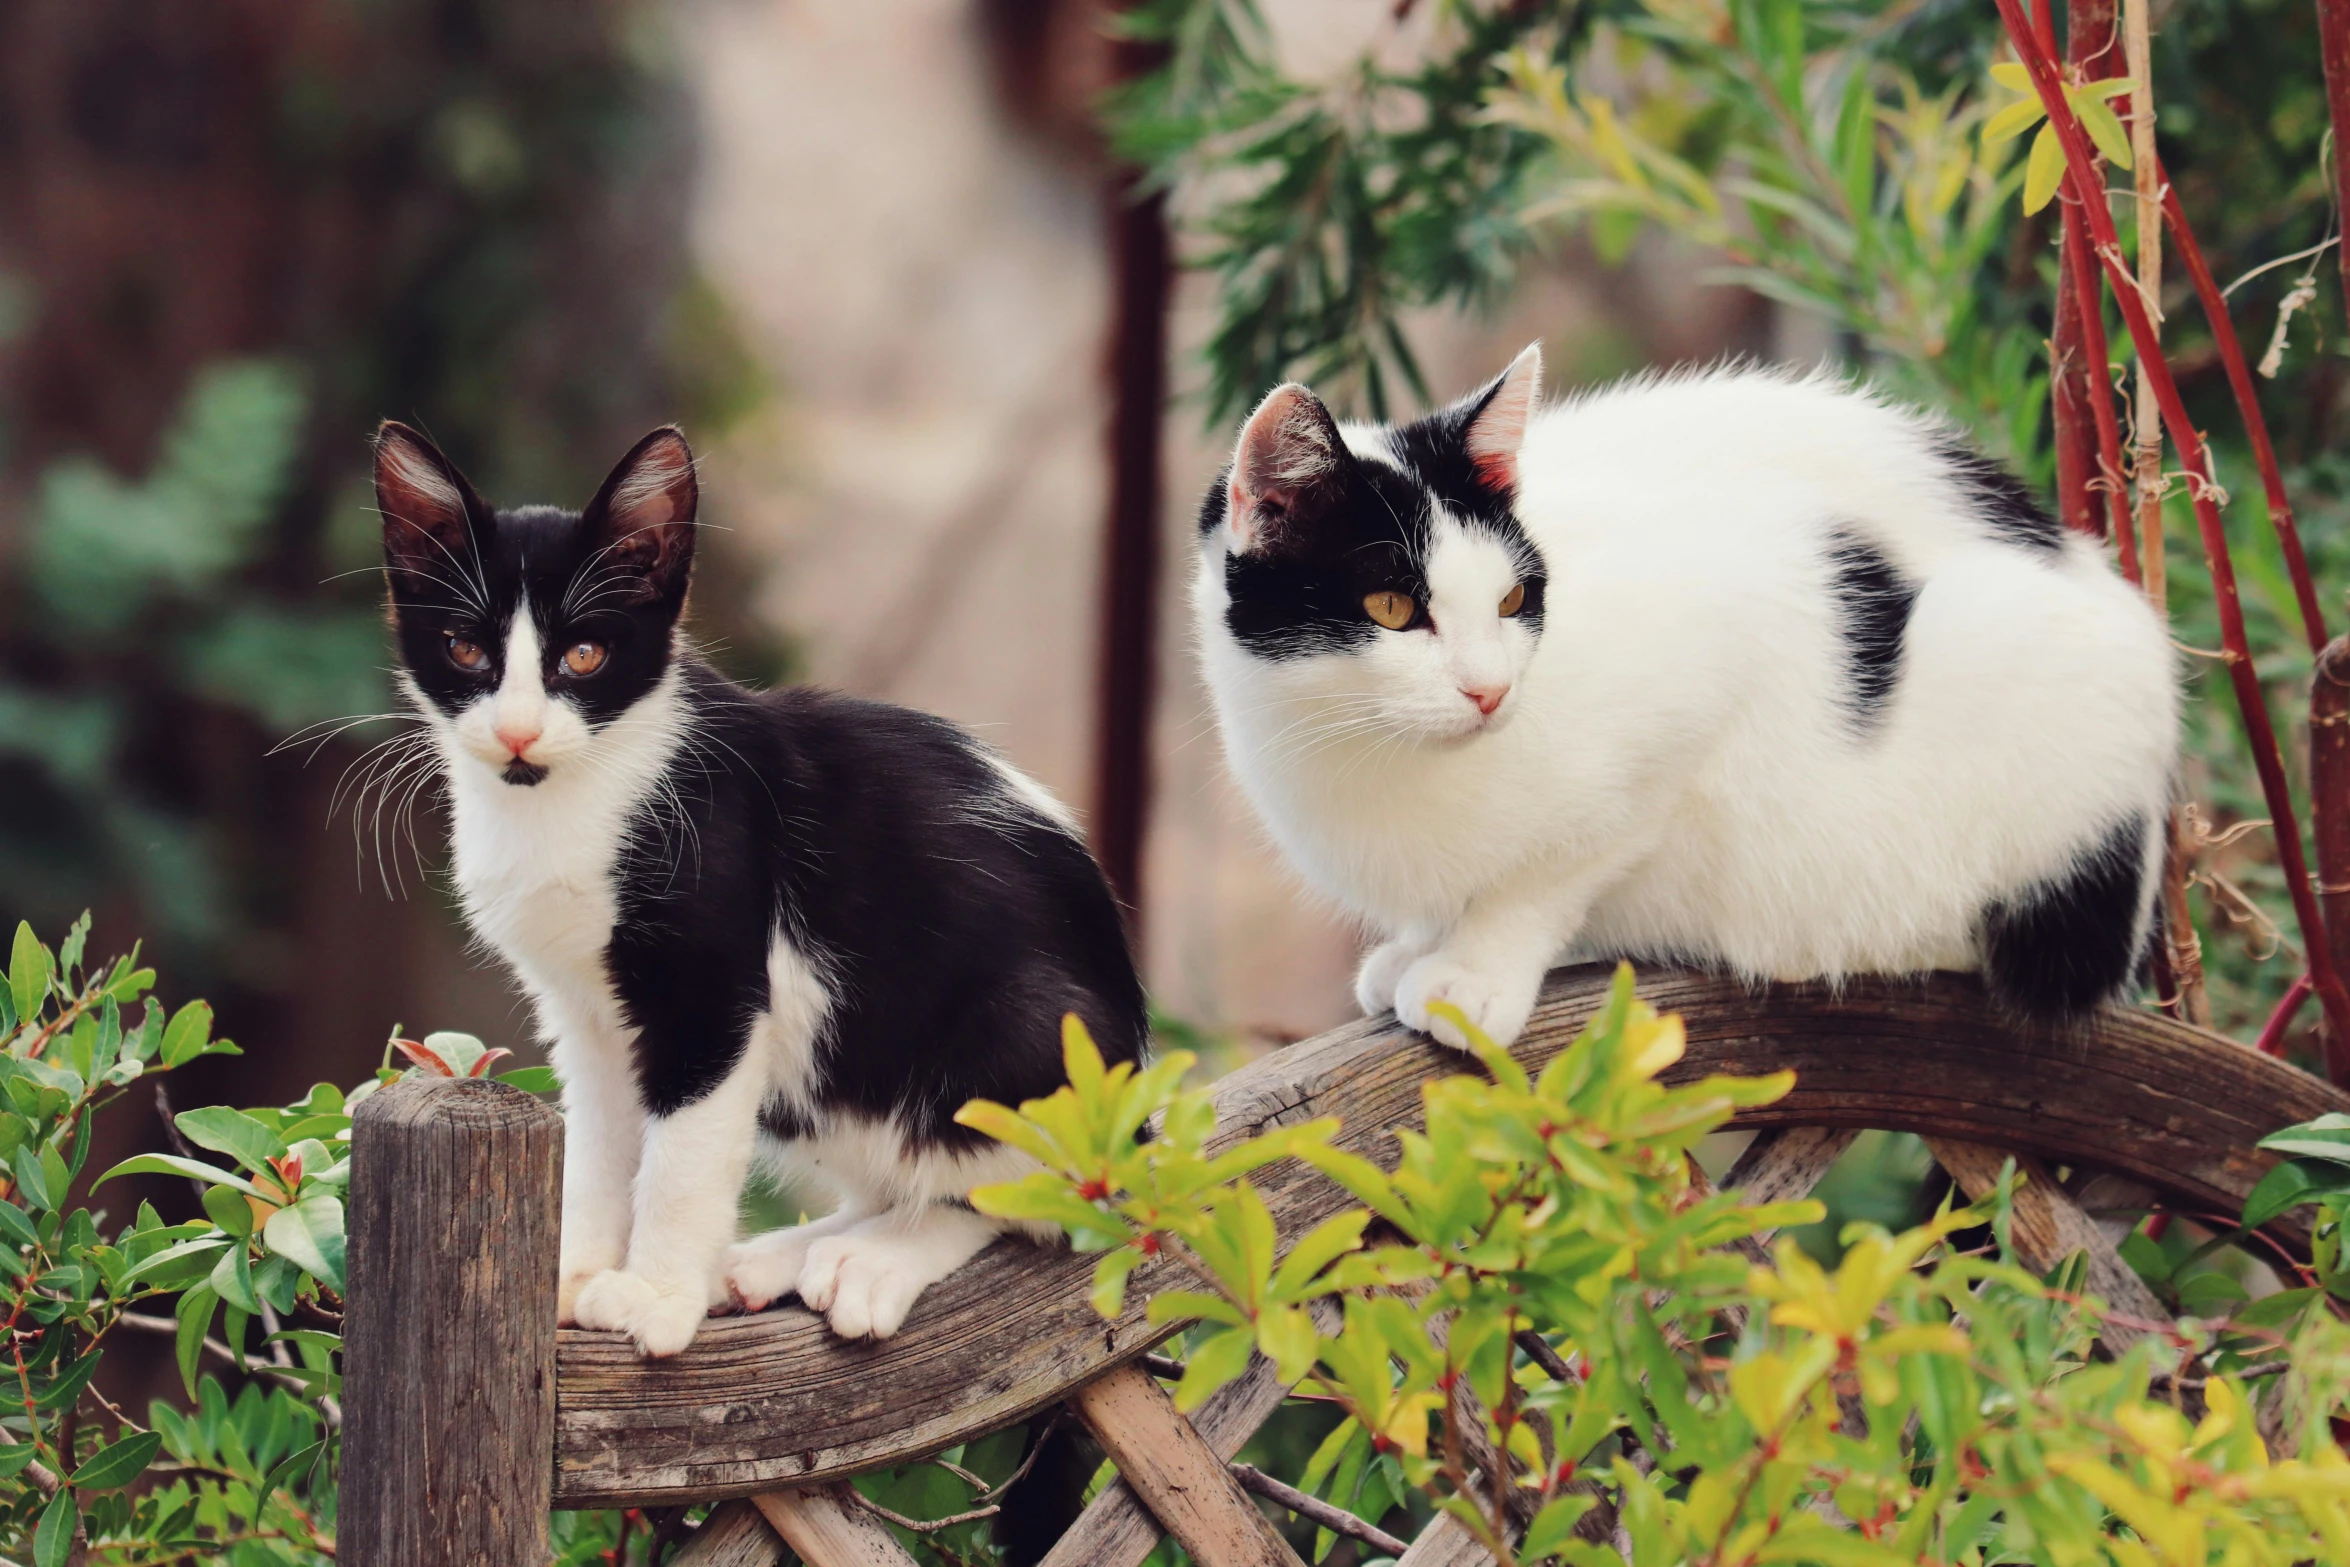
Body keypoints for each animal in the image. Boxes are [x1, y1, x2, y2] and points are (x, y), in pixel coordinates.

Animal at [376, 422, 1146, 1353]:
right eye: (467, 649)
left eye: (584, 655)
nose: (518, 732)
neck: (572, 794)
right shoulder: (586, 1010)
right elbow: (600, 1135)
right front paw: (577, 1272)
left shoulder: (716, 990)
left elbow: (683, 1153)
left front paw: (655, 1297)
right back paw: (784, 1256)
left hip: (1029, 1029)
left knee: (1029, 1197)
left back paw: (878, 1259)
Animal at [1193, 350, 2180, 1047]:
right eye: (1394, 609)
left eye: (1512, 601)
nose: (1491, 689)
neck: (1378, 758)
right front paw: (1420, 942)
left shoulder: (1722, 644)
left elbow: (1558, 867)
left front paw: (1473, 968)